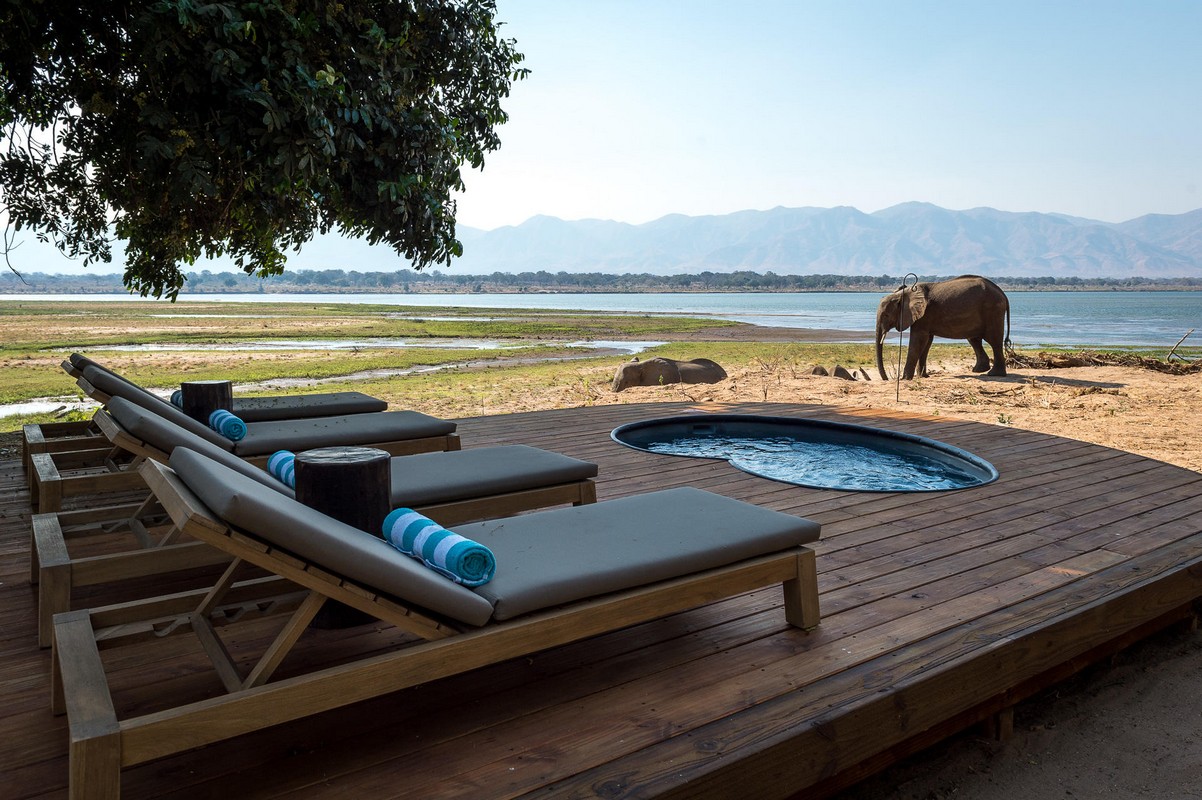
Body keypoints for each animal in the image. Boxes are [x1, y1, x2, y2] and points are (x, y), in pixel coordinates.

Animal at [875, 275, 1011, 380]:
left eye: (886, 315)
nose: (886, 378)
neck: (905, 293)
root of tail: (1003, 294)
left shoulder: (924, 314)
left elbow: (918, 340)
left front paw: (905, 379)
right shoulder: (925, 318)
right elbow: (927, 342)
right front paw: (923, 376)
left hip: (993, 310)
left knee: (994, 340)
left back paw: (994, 374)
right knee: (974, 339)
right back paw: (978, 370)